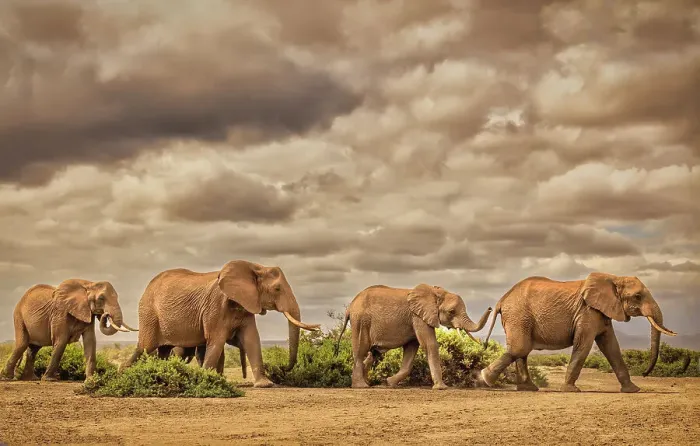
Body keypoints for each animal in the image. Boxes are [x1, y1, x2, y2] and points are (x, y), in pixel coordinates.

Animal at [1, 279, 137, 381]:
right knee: (22, 344)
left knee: (33, 349)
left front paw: (91, 380)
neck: (88, 284)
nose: (105, 314)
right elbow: (61, 341)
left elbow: (90, 341)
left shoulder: (87, 313)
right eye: (101, 298)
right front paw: (50, 379)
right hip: (18, 317)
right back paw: (7, 378)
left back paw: (30, 379)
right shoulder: (60, 313)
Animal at [119, 260, 320, 387]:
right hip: (148, 312)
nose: (281, 368)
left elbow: (251, 339)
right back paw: (124, 371)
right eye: (277, 289)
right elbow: (216, 340)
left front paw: (265, 385)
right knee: (145, 346)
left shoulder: (246, 304)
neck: (255, 267)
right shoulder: (215, 307)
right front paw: (206, 378)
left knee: (163, 351)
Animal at [334, 284, 492, 389]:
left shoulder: (415, 319)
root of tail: (351, 306)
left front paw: (389, 382)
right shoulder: (418, 317)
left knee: (372, 354)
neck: (435, 293)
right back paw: (361, 386)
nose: (491, 307)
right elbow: (429, 344)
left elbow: (411, 350)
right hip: (361, 321)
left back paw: (369, 383)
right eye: (452, 311)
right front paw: (442, 388)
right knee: (361, 350)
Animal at [479, 272, 677, 393]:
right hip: (518, 315)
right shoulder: (587, 311)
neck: (613, 278)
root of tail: (501, 300)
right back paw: (485, 379)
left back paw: (528, 388)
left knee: (522, 351)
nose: (644, 373)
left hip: (519, 317)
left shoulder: (602, 312)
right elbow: (584, 345)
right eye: (637, 296)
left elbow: (611, 347)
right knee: (520, 349)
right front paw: (570, 390)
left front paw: (633, 390)